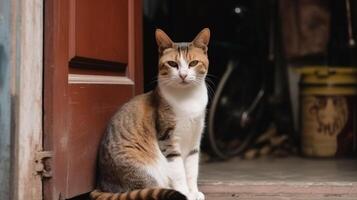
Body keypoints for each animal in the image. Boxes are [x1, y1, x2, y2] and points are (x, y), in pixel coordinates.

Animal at [90, 28, 210, 200]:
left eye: (193, 63)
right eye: (173, 64)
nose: (183, 75)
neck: (188, 98)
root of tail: (102, 184)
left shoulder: (195, 138)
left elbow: (192, 170)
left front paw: (193, 191)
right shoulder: (168, 138)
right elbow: (179, 171)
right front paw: (185, 193)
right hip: (144, 169)